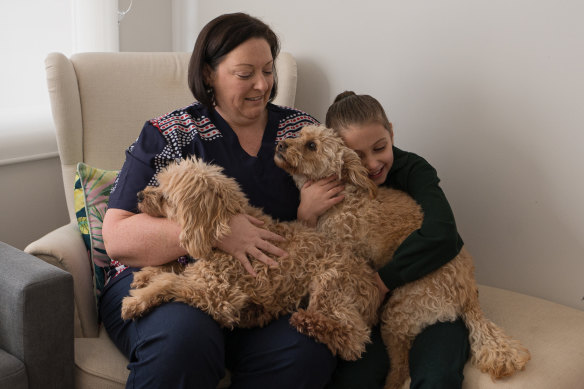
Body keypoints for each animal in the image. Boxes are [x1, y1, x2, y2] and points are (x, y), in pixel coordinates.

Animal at [121, 156, 380, 360]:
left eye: (166, 197)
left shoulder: (220, 295)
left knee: (355, 341)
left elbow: (170, 281)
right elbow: (175, 269)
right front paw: (147, 274)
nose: (139, 194)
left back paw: (309, 322)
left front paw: (137, 300)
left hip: (330, 285)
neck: (221, 226)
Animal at [274, 125, 528, 388]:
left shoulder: (345, 254)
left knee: (401, 367)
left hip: (397, 314)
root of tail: (469, 296)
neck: (345, 195)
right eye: (299, 133)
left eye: (312, 145)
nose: (280, 144)